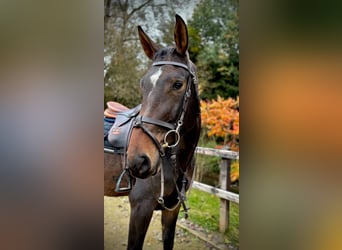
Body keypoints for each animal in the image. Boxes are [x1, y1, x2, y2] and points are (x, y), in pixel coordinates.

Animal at [103, 14, 200, 249]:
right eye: (142, 84)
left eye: (178, 84)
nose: (138, 160)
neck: (176, 161)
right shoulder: (141, 209)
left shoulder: (172, 210)